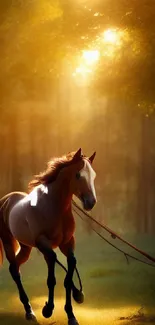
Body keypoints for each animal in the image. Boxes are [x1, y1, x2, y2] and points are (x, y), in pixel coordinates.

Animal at [0, 147, 97, 324]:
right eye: (78, 175)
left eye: (93, 175)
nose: (90, 202)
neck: (54, 207)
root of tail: (6, 200)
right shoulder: (43, 243)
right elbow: (52, 277)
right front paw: (48, 309)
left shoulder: (67, 243)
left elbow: (69, 272)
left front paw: (72, 313)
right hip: (9, 242)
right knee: (15, 271)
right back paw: (29, 312)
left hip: (26, 247)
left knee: (14, 267)